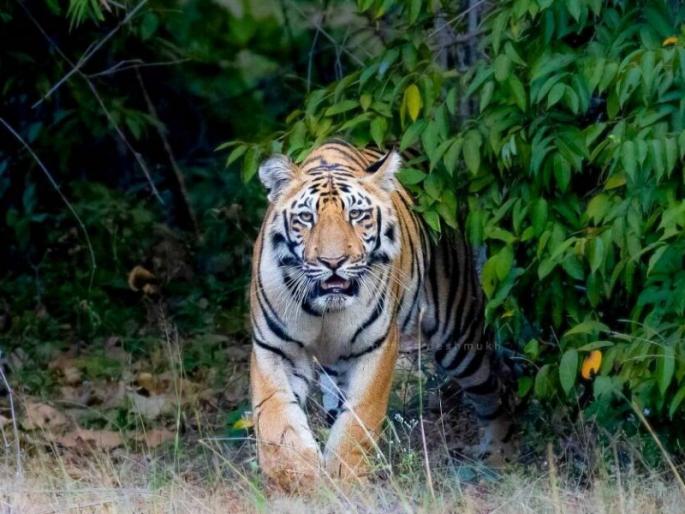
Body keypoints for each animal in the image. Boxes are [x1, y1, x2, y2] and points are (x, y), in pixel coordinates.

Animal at [250, 139, 513, 491]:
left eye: (356, 215)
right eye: (306, 217)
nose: (333, 262)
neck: (325, 311)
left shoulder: (376, 347)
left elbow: (359, 419)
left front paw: (345, 479)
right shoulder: (275, 349)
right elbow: (276, 419)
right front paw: (298, 478)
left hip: (458, 338)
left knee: (498, 390)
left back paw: (499, 457)